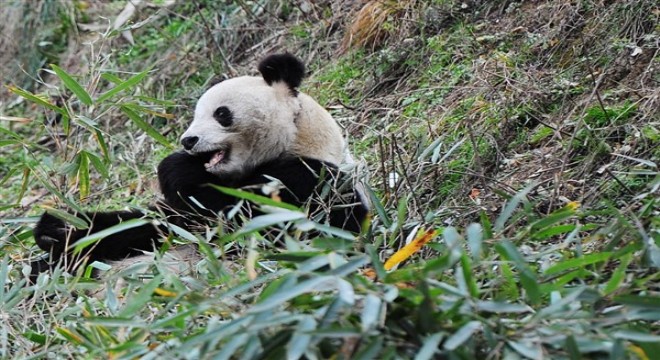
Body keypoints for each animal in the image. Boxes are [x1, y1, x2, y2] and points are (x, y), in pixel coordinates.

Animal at [31, 52, 368, 278]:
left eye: (221, 113)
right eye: (195, 115)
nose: (188, 141)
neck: (299, 139)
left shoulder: (310, 180)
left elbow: (243, 224)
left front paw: (177, 169)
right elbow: (147, 225)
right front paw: (58, 227)